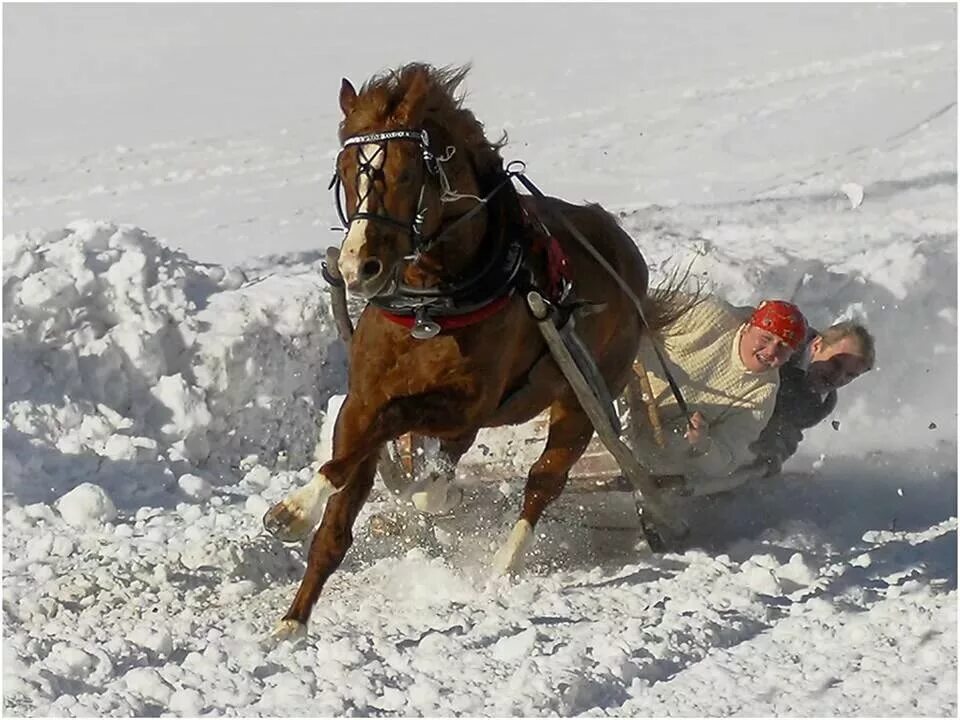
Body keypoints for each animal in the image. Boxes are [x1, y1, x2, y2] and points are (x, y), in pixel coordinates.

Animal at [258, 62, 688, 636]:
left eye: (405, 173)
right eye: (346, 170)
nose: (357, 268)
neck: (431, 305)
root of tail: (628, 255)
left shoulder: (470, 402)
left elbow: (392, 428)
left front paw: (294, 511)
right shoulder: (365, 398)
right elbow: (344, 490)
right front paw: (292, 621)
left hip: (583, 400)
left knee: (543, 482)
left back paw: (503, 564)